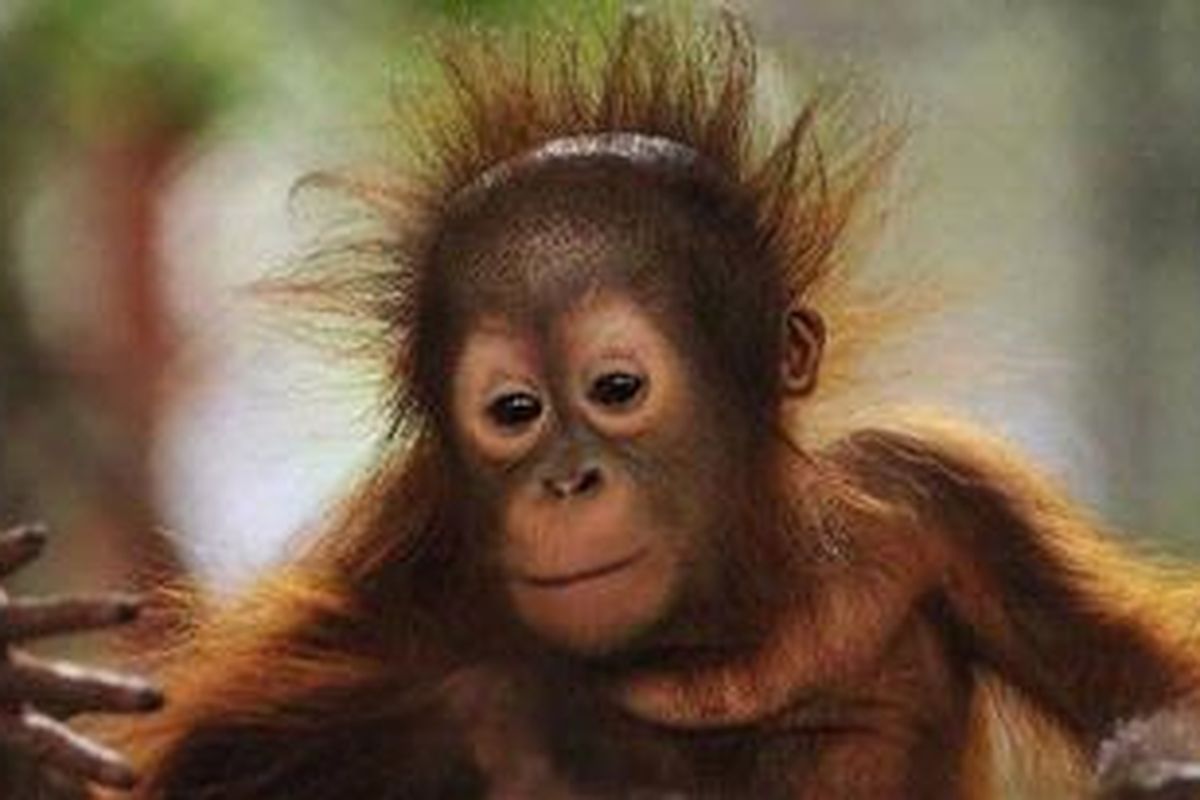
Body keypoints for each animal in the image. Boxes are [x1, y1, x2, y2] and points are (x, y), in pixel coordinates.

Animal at [2, 9, 1199, 799]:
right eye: (514, 410)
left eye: (616, 390)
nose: (566, 479)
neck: (712, 627)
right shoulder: (376, 608)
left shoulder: (942, 499)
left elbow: (1153, 684)